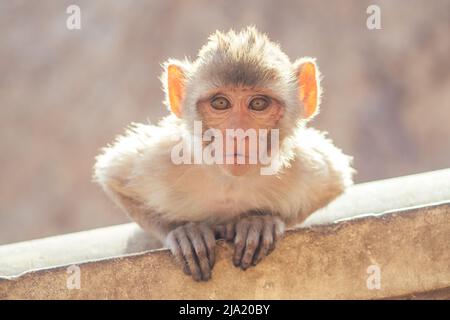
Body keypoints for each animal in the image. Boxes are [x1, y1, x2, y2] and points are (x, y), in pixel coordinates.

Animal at [94, 28, 356, 282]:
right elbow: (114, 177)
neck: (230, 182)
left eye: (258, 104)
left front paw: (260, 222)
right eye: (220, 103)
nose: (238, 133)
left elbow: (335, 181)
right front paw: (184, 232)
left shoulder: (305, 167)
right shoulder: (162, 158)